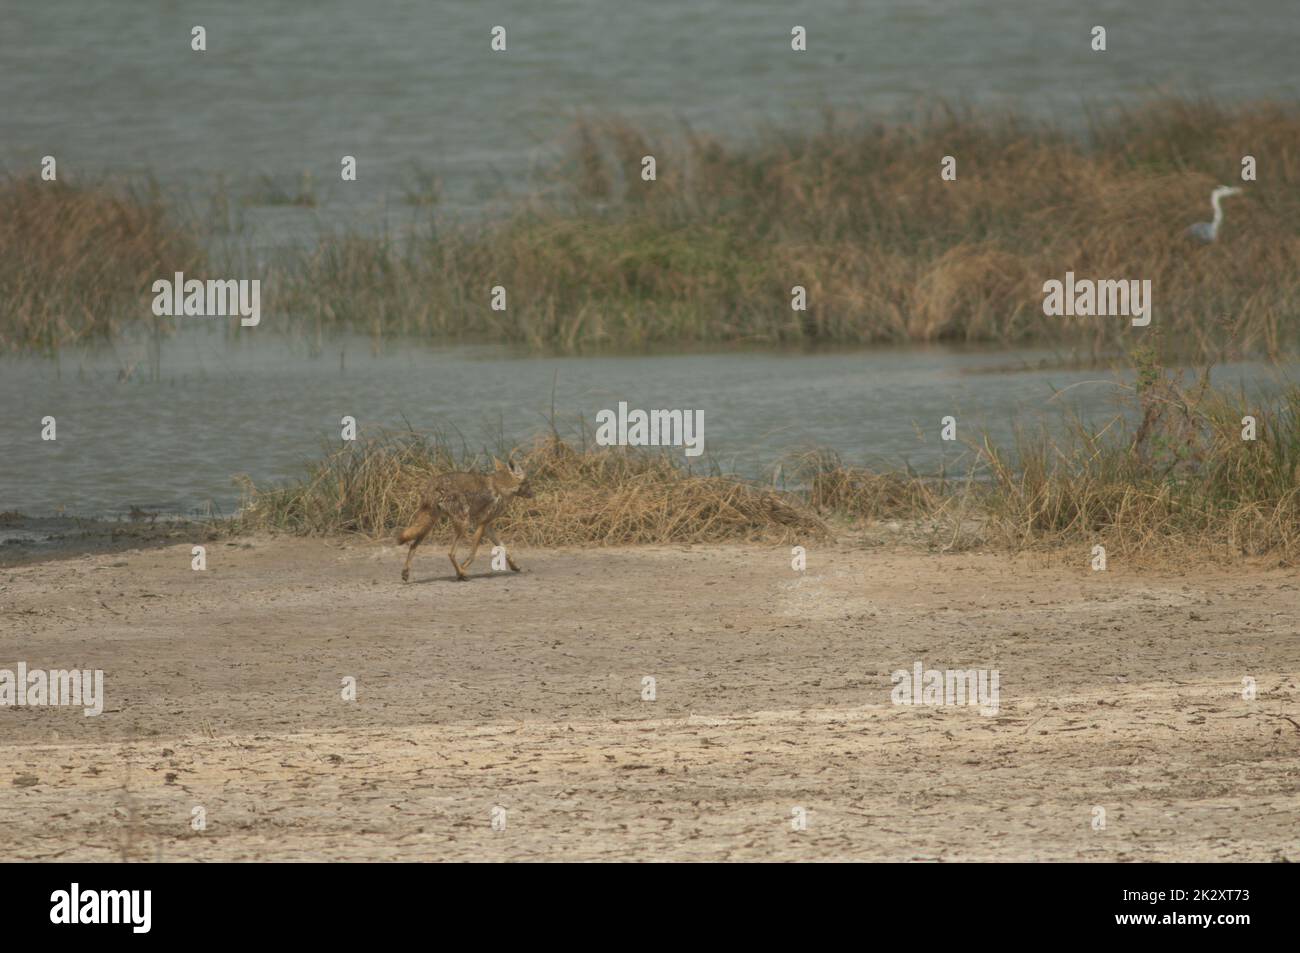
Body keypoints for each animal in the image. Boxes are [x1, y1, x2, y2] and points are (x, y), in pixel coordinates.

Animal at [397, 458, 532, 582]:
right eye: (528, 482)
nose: (533, 493)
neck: (503, 487)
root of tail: (435, 484)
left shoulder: (486, 526)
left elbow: (504, 548)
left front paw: (515, 566)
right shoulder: (481, 524)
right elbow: (472, 555)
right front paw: (461, 571)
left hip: (428, 526)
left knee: (412, 546)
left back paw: (405, 573)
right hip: (463, 525)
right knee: (450, 553)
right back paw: (463, 574)